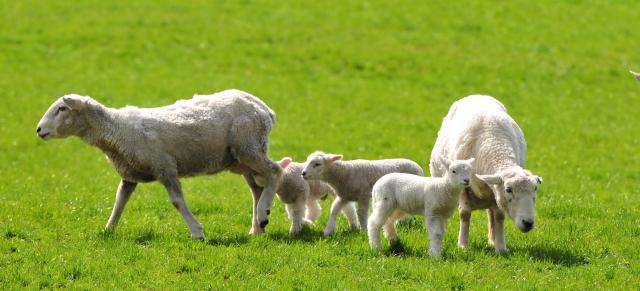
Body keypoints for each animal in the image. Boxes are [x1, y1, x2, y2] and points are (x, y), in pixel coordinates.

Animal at [35, 89, 282, 240]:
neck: (117, 130)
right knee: (256, 188)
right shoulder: (129, 175)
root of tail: (263, 108)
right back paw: (257, 228)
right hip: (239, 157)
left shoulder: (165, 168)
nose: (39, 130)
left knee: (275, 171)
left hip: (249, 146)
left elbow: (177, 201)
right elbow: (119, 201)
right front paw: (108, 229)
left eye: (61, 109)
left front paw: (197, 231)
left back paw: (263, 214)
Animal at [428, 94, 544, 254]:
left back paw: (492, 240)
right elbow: (465, 214)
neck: (494, 144)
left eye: (535, 189)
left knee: (491, 213)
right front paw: (463, 245)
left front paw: (501, 247)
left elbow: (499, 216)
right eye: (508, 189)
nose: (528, 223)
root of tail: (477, 95)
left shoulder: (496, 194)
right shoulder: (463, 186)